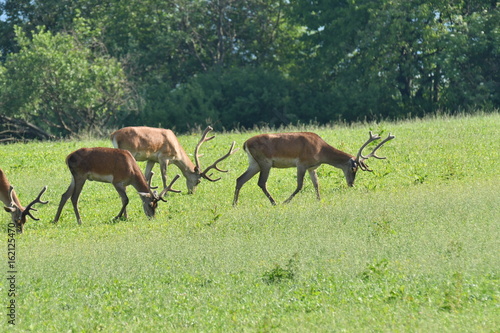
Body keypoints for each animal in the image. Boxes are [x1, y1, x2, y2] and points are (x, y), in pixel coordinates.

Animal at [52, 147, 181, 223]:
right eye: (150, 204)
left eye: (156, 206)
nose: (152, 218)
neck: (132, 171)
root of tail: (68, 157)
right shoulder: (116, 181)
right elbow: (126, 199)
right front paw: (117, 217)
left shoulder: (124, 184)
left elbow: (123, 199)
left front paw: (126, 217)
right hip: (80, 175)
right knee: (74, 197)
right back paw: (80, 221)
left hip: (74, 177)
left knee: (64, 195)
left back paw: (55, 219)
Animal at [110, 126, 239, 195]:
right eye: (198, 181)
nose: (192, 192)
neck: (177, 153)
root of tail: (113, 135)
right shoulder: (163, 157)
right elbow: (164, 176)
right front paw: (166, 192)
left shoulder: (151, 159)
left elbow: (146, 176)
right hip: (129, 151)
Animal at [233, 130, 394, 205]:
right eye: (353, 168)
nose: (351, 184)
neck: (320, 150)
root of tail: (245, 143)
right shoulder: (301, 163)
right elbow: (300, 185)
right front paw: (286, 201)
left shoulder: (312, 167)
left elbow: (316, 184)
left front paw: (319, 200)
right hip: (265, 162)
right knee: (261, 182)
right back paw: (275, 202)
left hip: (254, 163)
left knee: (240, 179)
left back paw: (234, 204)